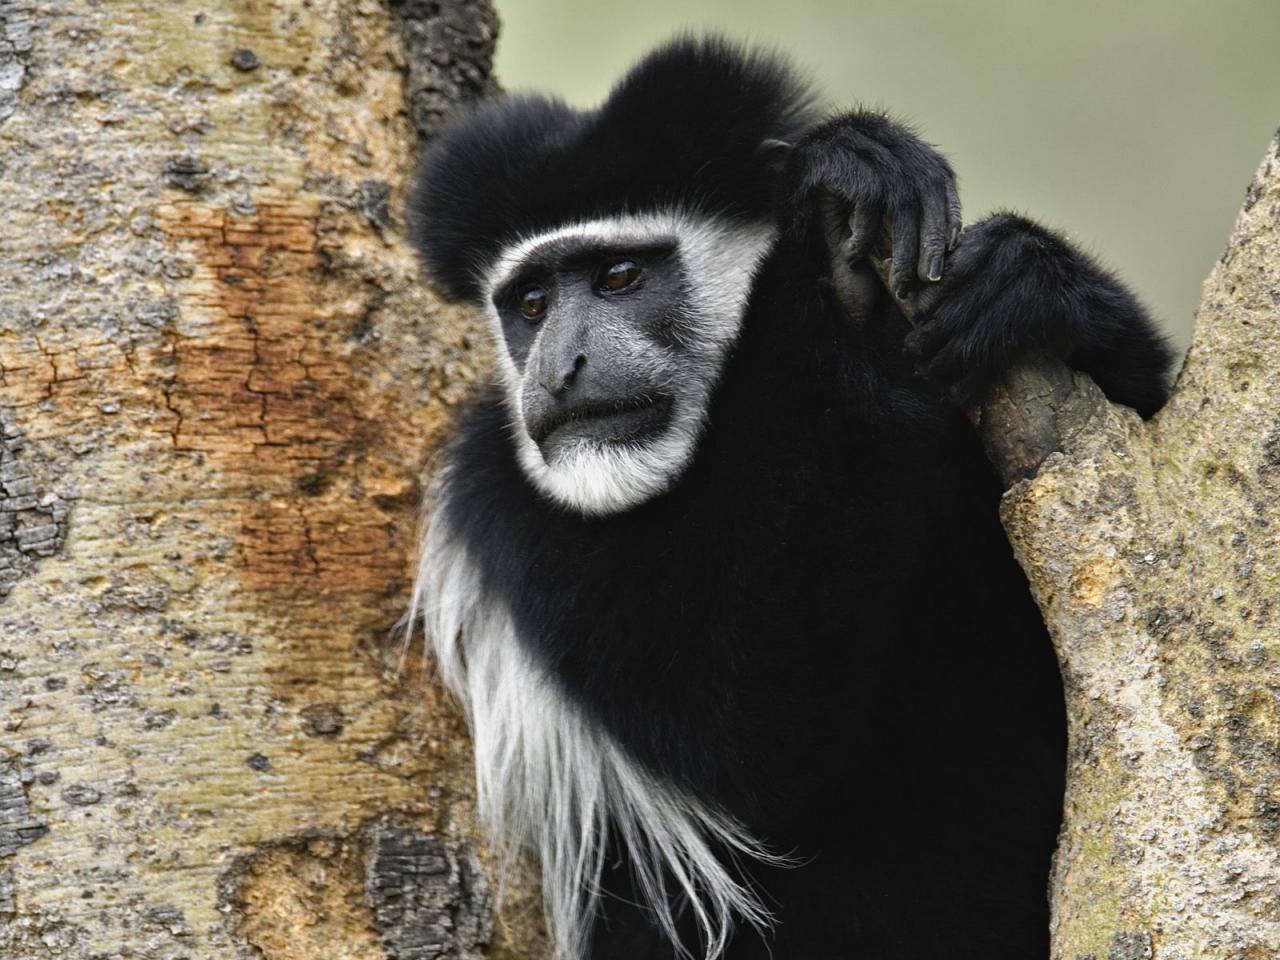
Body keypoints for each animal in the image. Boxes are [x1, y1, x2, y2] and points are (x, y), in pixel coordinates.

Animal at [404, 37, 1172, 960]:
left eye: (619, 276)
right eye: (530, 304)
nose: (561, 371)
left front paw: (1029, 277)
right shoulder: (504, 505)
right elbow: (741, 749)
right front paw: (832, 254)